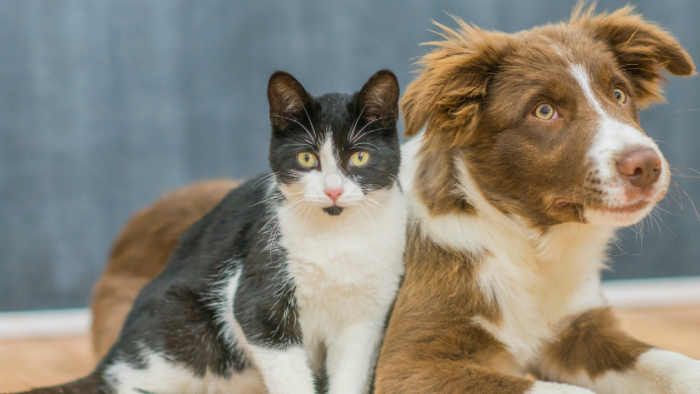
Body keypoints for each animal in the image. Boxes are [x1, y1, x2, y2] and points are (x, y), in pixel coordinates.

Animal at [24, 70, 408, 394]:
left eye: (359, 157)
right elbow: (286, 369)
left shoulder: (366, 318)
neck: (337, 235)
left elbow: (351, 373)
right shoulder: (257, 295)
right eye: (306, 158)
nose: (333, 191)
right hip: (183, 331)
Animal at [374, 3, 696, 394]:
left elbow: (676, 365)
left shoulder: (579, 329)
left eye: (620, 94)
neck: (527, 247)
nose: (647, 166)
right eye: (544, 111)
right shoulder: (410, 365)